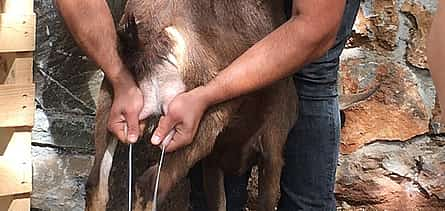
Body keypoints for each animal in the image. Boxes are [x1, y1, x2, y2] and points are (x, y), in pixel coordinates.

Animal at [85, 0, 296, 210]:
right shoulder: (273, 150)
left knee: (96, 183)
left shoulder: (212, 161)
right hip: (190, 125)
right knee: (149, 185)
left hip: (116, 98)